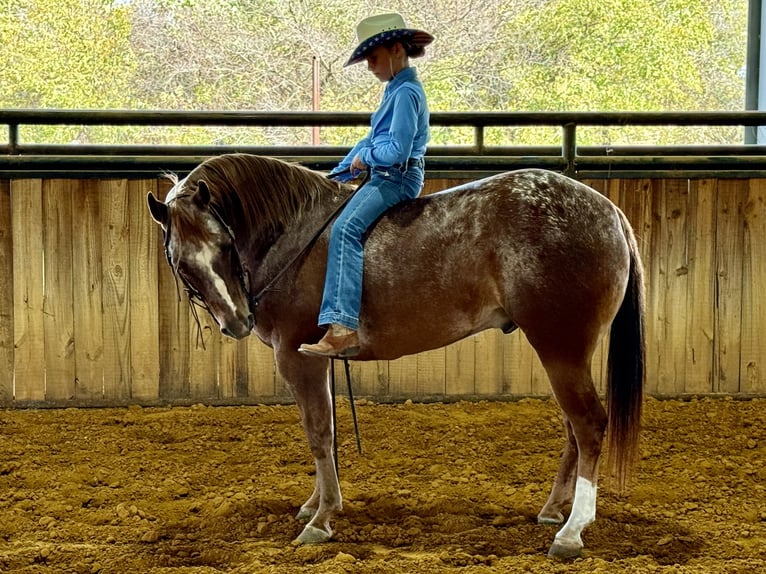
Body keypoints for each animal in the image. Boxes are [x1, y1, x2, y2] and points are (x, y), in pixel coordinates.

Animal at [147, 154, 644, 564]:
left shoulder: (297, 359)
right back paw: (554, 510)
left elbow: (318, 434)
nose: (237, 321)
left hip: (561, 348)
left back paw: (571, 531)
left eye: (224, 244)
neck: (294, 237)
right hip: (560, 352)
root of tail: (609, 212)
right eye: (181, 262)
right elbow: (326, 432)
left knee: (588, 424)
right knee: (572, 429)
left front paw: (322, 519)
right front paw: (314, 504)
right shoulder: (320, 362)